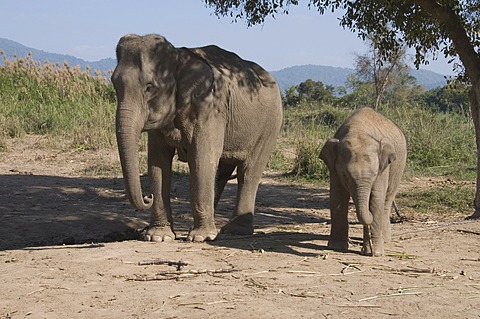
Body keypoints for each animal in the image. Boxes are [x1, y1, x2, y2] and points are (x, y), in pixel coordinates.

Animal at [111, 34, 284, 242]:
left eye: (149, 87)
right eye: (114, 85)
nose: (147, 197)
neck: (178, 57)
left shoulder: (209, 107)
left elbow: (201, 157)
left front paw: (201, 238)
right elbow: (158, 162)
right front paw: (158, 237)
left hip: (270, 124)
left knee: (249, 172)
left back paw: (234, 231)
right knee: (221, 172)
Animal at [320, 107, 406, 258]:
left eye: (374, 174)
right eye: (345, 175)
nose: (370, 251)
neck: (358, 130)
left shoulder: (383, 169)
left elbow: (376, 198)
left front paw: (375, 253)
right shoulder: (334, 169)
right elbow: (337, 196)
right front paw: (336, 247)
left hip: (399, 166)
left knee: (387, 200)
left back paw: (385, 240)